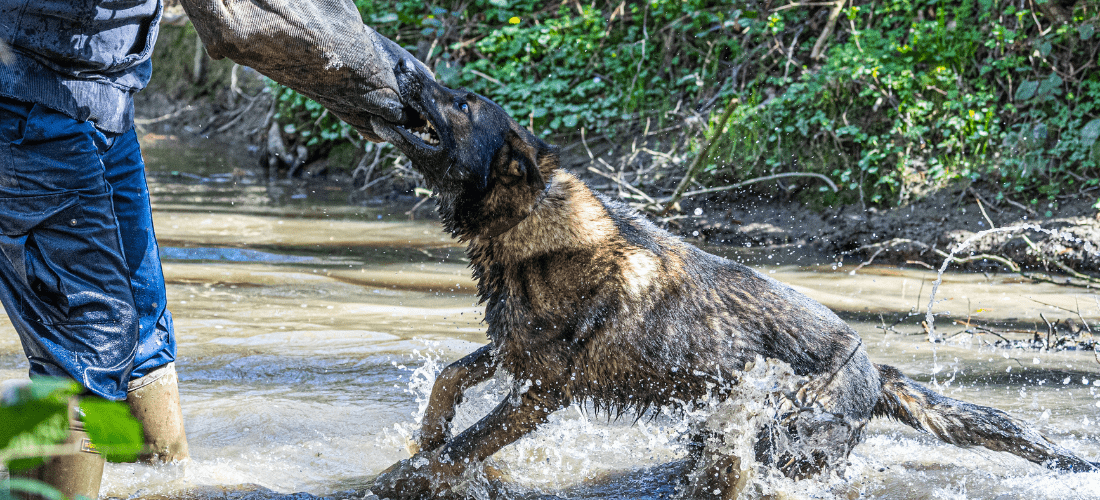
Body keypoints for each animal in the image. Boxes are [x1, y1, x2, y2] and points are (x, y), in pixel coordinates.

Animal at [367, 57, 1091, 496]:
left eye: (461, 102)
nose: (403, 65)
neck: (529, 224)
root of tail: (874, 371)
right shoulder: (516, 352)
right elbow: (449, 379)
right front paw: (428, 430)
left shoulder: (540, 390)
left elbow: (458, 450)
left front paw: (404, 476)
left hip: (777, 428)